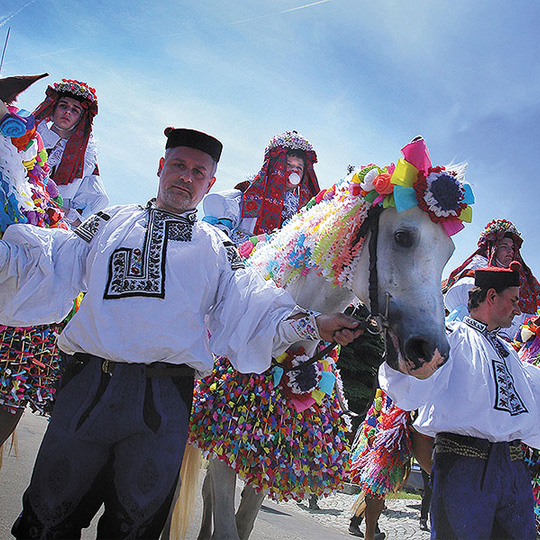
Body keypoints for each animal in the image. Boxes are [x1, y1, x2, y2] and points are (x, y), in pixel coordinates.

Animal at [169, 138, 472, 540]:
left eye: (448, 253)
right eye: (403, 237)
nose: (432, 352)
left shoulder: (260, 453)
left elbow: (243, 522)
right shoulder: (226, 439)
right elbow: (227, 527)